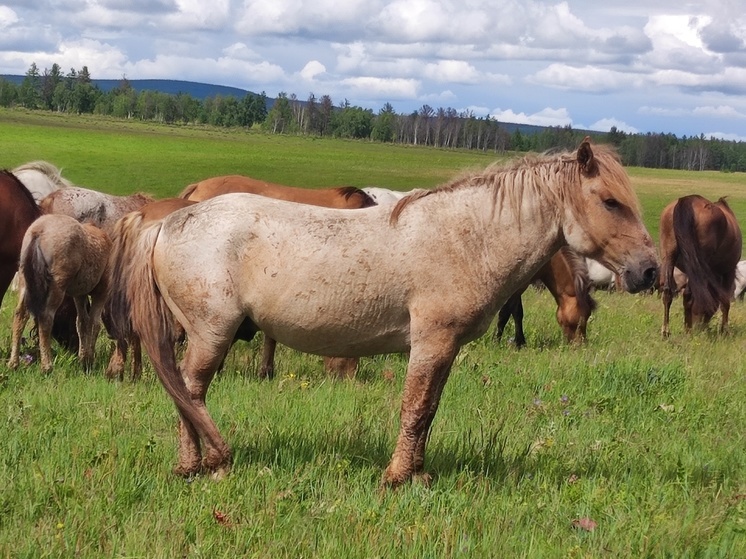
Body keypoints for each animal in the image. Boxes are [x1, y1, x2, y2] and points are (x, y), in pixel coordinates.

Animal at [8, 217, 112, 374]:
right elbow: (94, 323)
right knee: (46, 317)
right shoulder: (101, 292)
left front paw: (83, 359)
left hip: (24, 281)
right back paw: (47, 367)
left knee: (20, 315)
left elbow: (81, 322)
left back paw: (13, 364)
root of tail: (39, 230)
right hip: (57, 285)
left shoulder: (79, 295)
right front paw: (89, 361)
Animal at [119, 141, 652, 490]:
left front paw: (418, 474)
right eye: (611, 201)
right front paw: (396, 477)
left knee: (185, 392)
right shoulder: (431, 341)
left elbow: (429, 410)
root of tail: (169, 222)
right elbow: (414, 407)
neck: (467, 238)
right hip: (211, 333)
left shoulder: (445, 348)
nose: (648, 270)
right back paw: (205, 465)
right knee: (189, 391)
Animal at [656, 196, 740, 336]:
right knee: (688, 295)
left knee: (667, 292)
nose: (699, 326)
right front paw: (725, 330)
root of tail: (687, 200)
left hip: (669, 256)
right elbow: (725, 300)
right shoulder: (729, 270)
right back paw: (688, 331)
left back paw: (666, 331)